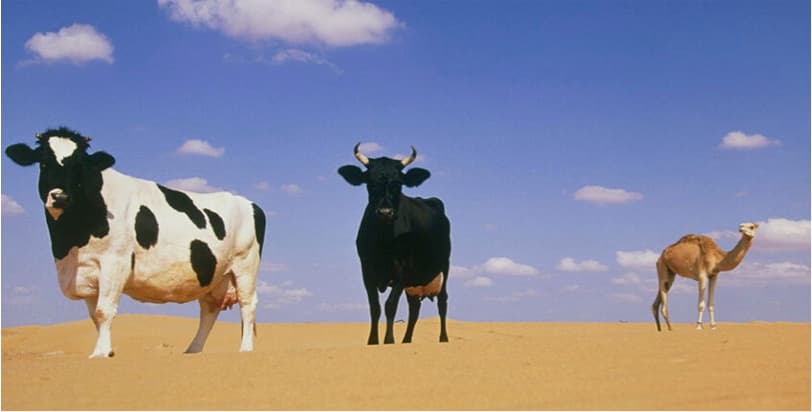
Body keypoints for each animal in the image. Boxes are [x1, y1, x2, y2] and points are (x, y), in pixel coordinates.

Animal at [5, 127, 265, 358]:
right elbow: (95, 316)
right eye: (43, 162)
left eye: (79, 166)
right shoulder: (86, 271)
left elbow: (104, 311)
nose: (60, 197)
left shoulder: (115, 261)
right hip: (214, 277)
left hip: (245, 265)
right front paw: (106, 349)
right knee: (209, 310)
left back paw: (245, 349)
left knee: (247, 304)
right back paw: (193, 350)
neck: (69, 243)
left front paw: (100, 353)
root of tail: (248, 202)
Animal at [338, 144, 451, 344]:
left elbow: (390, 305)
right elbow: (374, 307)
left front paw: (389, 340)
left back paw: (443, 339)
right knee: (414, 308)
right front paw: (373, 341)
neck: (383, 241)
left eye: (398, 184)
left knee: (442, 302)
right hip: (413, 283)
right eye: (370, 183)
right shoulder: (366, 269)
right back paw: (406, 340)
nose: (385, 212)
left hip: (444, 267)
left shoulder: (403, 268)